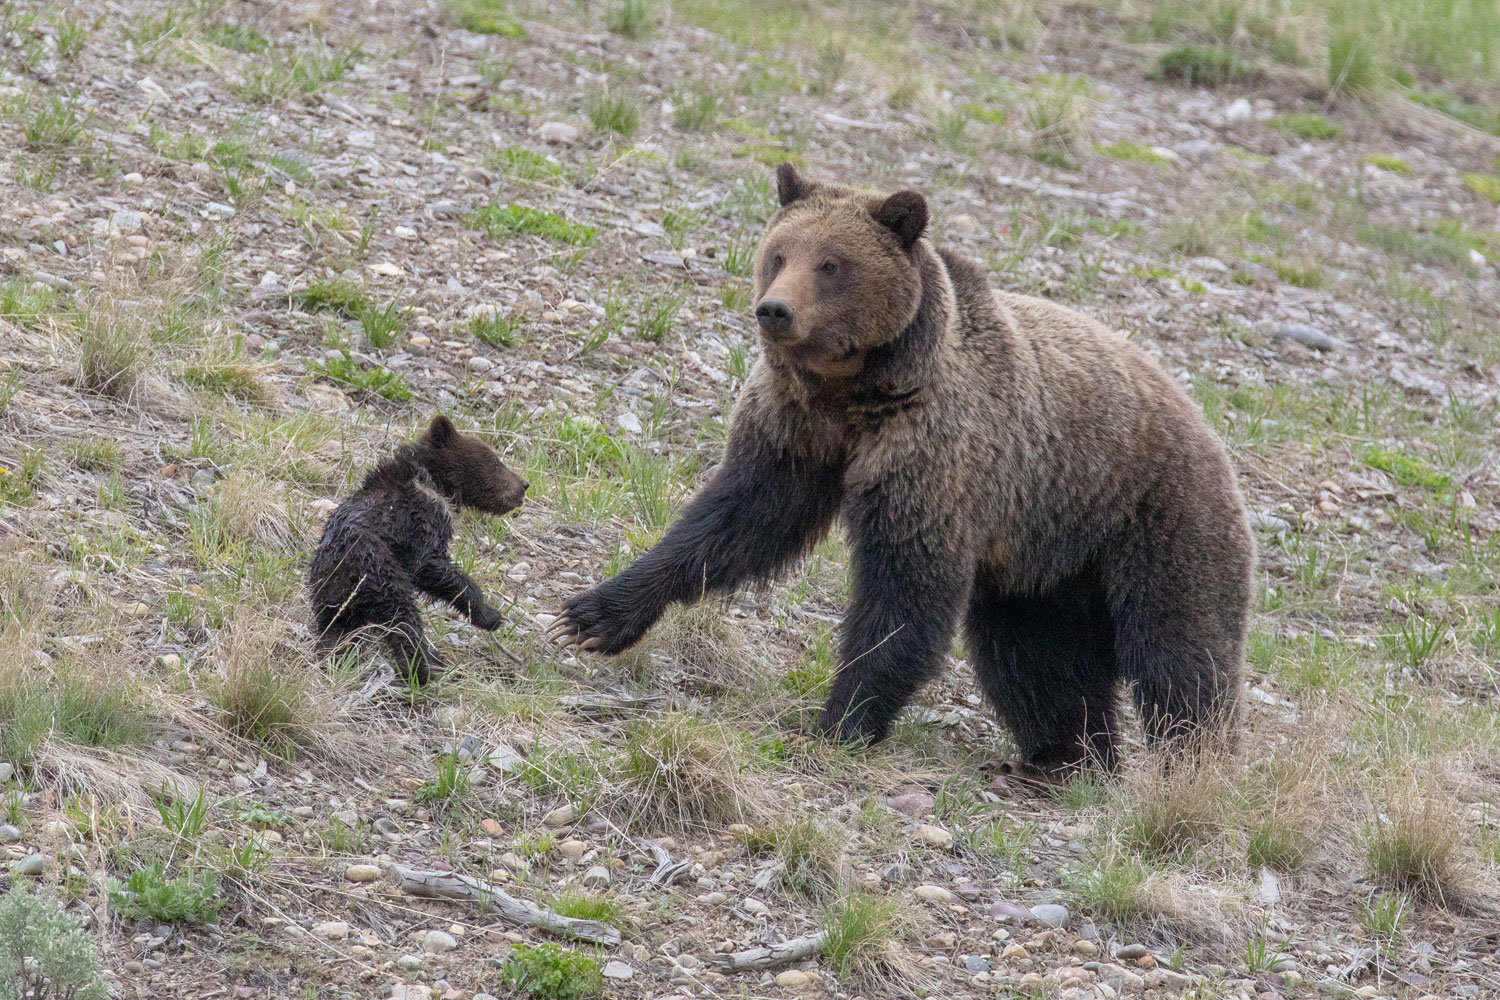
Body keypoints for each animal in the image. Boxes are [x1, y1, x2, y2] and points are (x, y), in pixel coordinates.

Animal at [555, 166, 1254, 773]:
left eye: (831, 264)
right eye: (779, 254)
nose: (775, 310)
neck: (857, 393)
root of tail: (1207, 424)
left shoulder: (933, 455)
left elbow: (904, 590)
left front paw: (840, 719)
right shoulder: (795, 429)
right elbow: (735, 521)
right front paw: (593, 616)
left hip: (1153, 515)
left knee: (1180, 654)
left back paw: (1189, 765)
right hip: (1043, 558)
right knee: (1034, 655)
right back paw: (1067, 756)